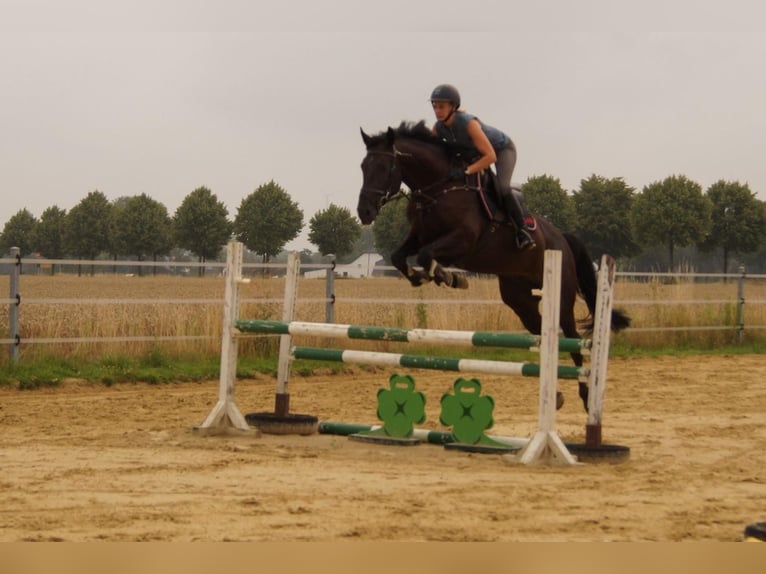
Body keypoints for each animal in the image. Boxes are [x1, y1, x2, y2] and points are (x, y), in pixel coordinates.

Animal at [357, 120, 630, 411]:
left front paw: (449, 278)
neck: (439, 188)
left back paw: (586, 396)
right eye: (363, 166)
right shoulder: (418, 236)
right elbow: (400, 257)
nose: (364, 212)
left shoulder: (462, 241)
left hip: (562, 298)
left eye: (384, 167)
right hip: (520, 300)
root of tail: (562, 238)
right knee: (544, 333)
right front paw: (426, 278)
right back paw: (554, 393)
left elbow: (426, 256)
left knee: (571, 338)